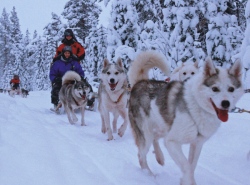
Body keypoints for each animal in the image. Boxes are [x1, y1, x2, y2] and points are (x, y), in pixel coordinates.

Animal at [128, 49, 243, 184]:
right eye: (215, 88)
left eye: (231, 89)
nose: (226, 103)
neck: (197, 105)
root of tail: (140, 82)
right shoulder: (172, 142)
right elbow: (187, 167)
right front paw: (187, 180)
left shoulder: (196, 144)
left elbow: (192, 166)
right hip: (146, 135)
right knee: (141, 156)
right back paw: (149, 175)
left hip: (162, 128)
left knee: (155, 139)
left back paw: (160, 157)